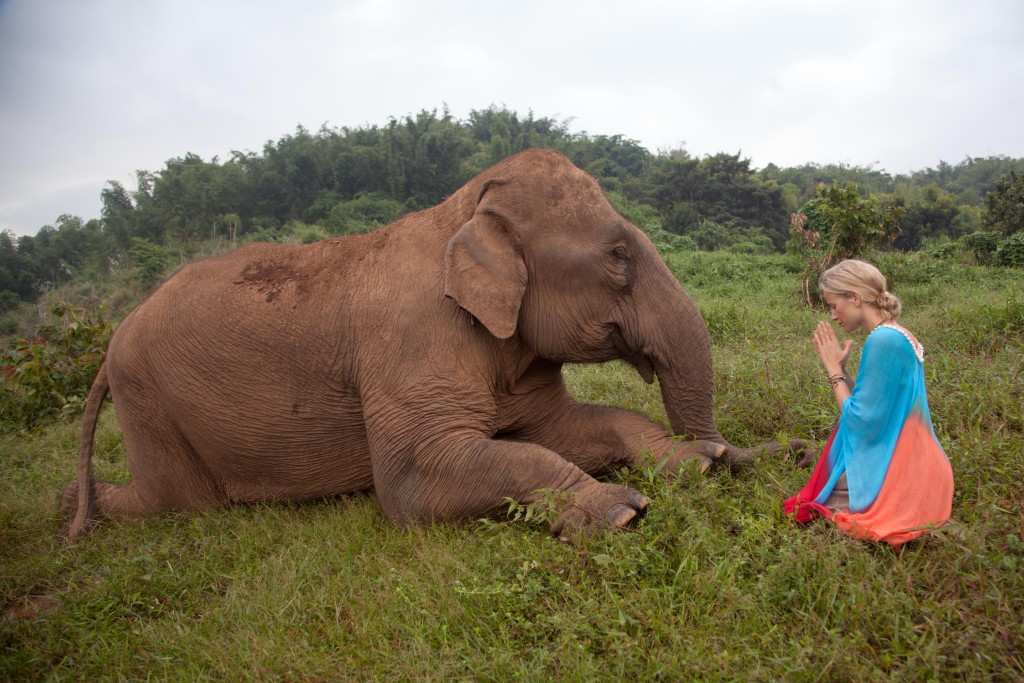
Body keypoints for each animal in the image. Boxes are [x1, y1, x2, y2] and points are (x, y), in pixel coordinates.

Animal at [59, 150, 806, 544]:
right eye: (619, 257)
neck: (461, 211)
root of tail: (112, 335)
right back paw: (73, 501)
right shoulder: (410, 339)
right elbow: (416, 481)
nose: (793, 452)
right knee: (178, 503)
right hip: (149, 400)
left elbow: (572, 427)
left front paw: (688, 466)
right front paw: (621, 508)